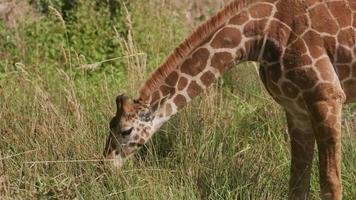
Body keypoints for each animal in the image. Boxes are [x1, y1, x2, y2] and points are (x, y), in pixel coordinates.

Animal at [103, 0, 356, 199]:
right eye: (110, 125)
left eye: (126, 130)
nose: (105, 167)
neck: (261, 36)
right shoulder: (295, 108)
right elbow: (297, 185)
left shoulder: (327, 97)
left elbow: (330, 184)